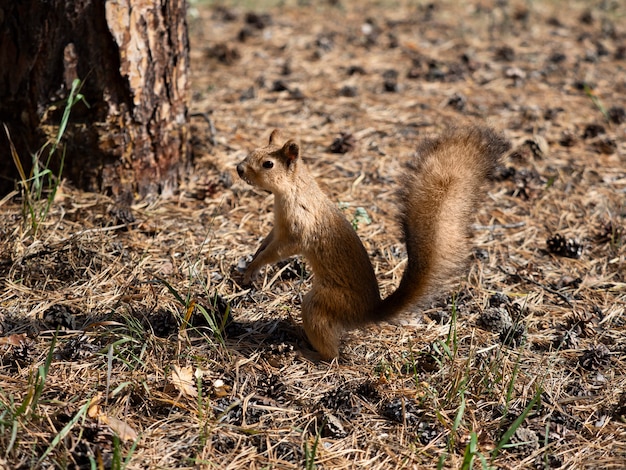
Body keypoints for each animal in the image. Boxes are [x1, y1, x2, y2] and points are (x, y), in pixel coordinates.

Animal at [236, 126, 510, 358]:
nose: (239, 169)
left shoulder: (296, 229)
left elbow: (278, 251)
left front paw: (253, 268)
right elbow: (266, 243)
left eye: (268, 164)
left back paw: (309, 352)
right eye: (253, 151)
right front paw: (251, 260)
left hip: (322, 303)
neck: (291, 192)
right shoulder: (277, 228)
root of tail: (367, 314)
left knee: (331, 352)